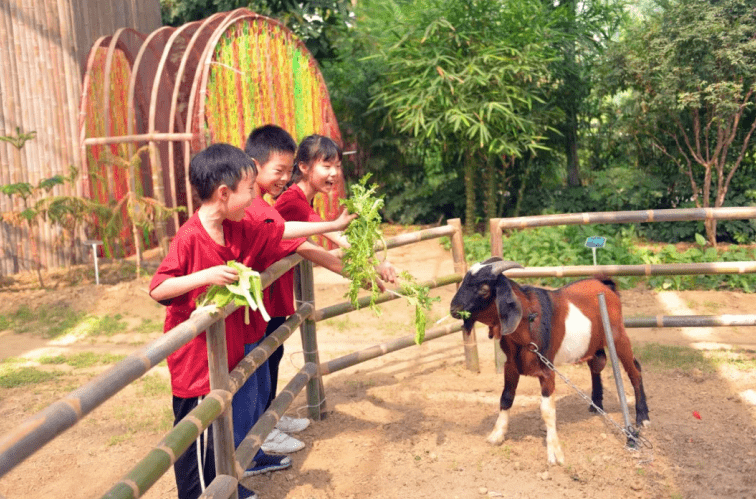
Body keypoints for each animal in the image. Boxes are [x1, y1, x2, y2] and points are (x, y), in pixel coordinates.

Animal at [448, 258, 648, 464]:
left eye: (484, 288)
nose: (453, 309)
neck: (526, 324)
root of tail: (605, 286)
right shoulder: (510, 365)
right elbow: (506, 397)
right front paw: (496, 435)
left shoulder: (547, 370)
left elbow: (547, 410)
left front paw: (555, 452)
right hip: (594, 343)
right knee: (597, 365)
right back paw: (596, 405)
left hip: (618, 336)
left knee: (634, 370)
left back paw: (641, 418)